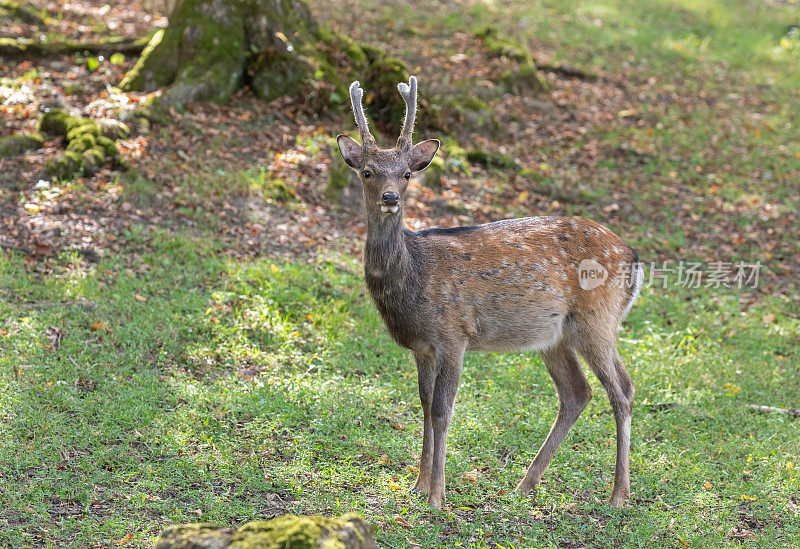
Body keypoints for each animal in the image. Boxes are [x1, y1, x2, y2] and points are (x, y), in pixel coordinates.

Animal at [336, 75, 644, 508]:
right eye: (367, 171)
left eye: (407, 174)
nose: (390, 197)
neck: (413, 279)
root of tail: (632, 256)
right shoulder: (422, 346)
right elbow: (424, 405)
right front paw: (417, 486)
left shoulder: (453, 334)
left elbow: (442, 410)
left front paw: (436, 495)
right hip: (555, 336)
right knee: (577, 393)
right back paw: (524, 484)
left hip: (598, 319)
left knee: (622, 389)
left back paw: (618, 494)